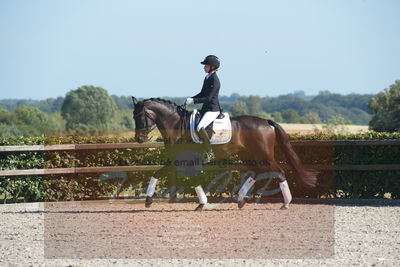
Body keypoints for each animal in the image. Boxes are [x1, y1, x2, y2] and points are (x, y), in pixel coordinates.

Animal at [133, 97, 318, 211]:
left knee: (278, 172)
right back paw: (241, 200)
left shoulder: (186, 161)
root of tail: (265, 121)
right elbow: (157, 173)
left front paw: (202, 204)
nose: (139, 139)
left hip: (263, 155)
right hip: (249, 155)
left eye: (140, 116)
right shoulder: (176, 160)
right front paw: (148, 200)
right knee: (257, 172)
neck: (177, 125)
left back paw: (286, 203)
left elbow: (193, 180)